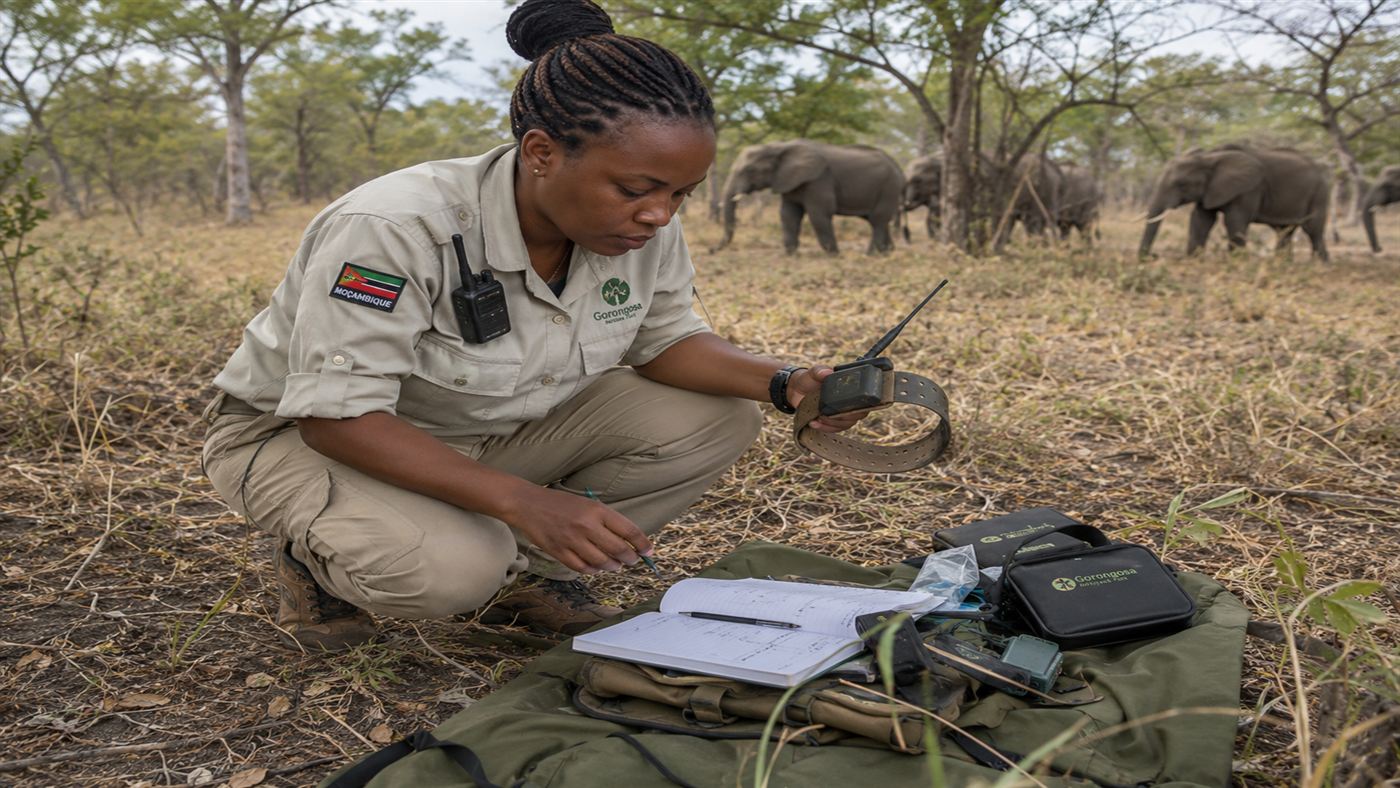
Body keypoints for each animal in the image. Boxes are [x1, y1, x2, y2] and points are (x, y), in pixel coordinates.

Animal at [718, 140, 904, 255]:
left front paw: (834, 255)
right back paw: (887, 252)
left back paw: (871, 255)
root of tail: (897, 165)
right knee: (877, 220)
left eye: (748, 170)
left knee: (877, 220)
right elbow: (788, 215)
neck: (779, 147)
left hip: (889, 187)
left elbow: (818, 214)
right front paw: (791, 254)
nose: (713, 250)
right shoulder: (789, 181)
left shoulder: (819, 179)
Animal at [1139, 144, 1330, 261]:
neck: (1210, 157)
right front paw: (1193, 261)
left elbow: (1234, 221)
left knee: (1313, 230)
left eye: (1181, 184)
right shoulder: (1209, 190)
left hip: (1319, 193)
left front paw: (1236, 265)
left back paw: (1320, 267)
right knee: (1284, 232)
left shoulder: (1249, 189)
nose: (1153, 256)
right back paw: (1284, 266)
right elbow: (1201, 221)